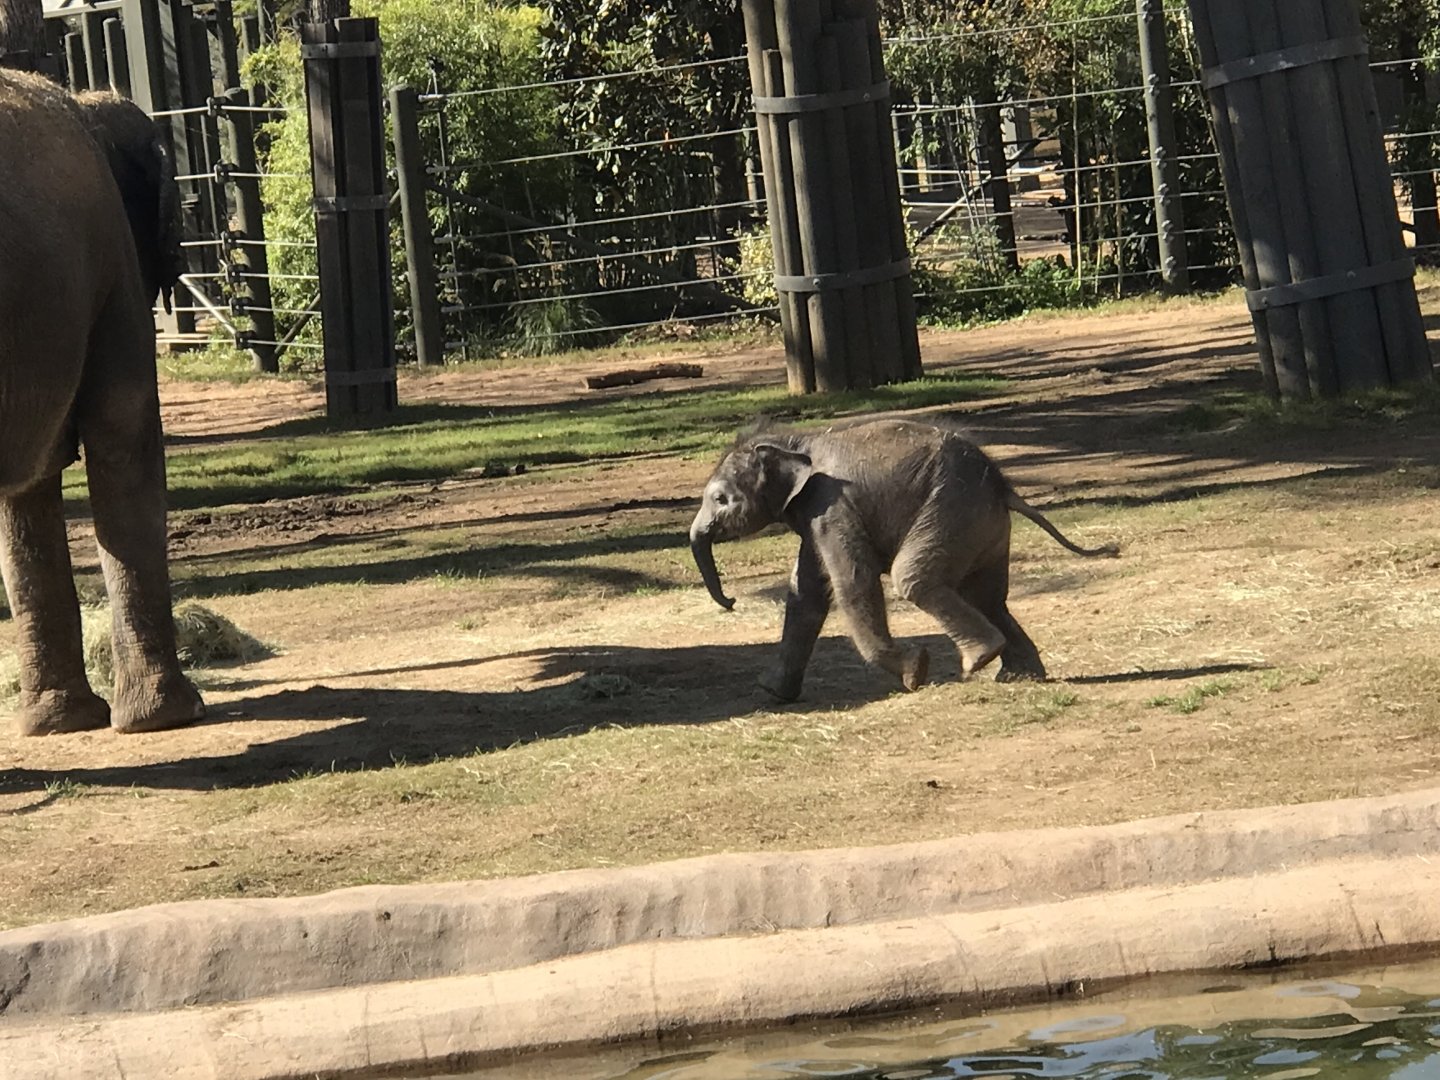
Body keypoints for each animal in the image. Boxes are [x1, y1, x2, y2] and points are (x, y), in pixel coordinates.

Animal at [689, 418, 1118, 701]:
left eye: (721, 499)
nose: (731, 601)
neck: (794, 439)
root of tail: (1002, 485)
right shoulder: (814, 514)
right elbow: (805, 594)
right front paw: (771, 691)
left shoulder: (831, 505)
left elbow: (852, 581)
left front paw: (915, 672)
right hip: (982, 527)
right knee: (988, 597)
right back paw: (1018, 676)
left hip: (951, 511)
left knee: (913, 579)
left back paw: (978, 662)